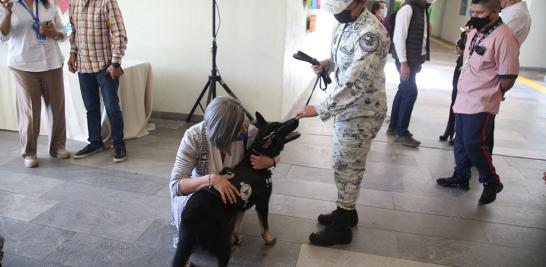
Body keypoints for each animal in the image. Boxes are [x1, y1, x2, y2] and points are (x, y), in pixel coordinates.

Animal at [172, 113, 300, 267]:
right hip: (222, 243)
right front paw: (269, 239)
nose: (297, 118)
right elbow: (264, 227)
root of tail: (190, 218)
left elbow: (238, 225)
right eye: (280, 127)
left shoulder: (239, 208)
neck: (254, 162)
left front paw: (237, 239)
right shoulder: (263, 204)